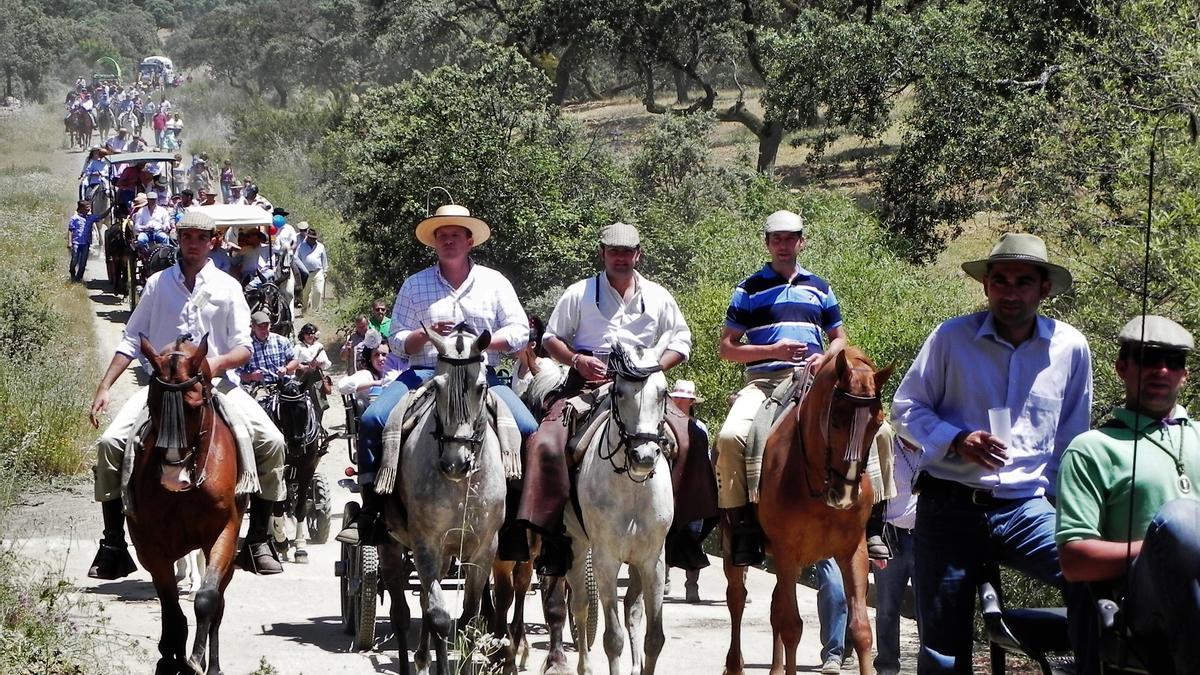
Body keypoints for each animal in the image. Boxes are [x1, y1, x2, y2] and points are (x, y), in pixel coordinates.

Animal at [129, 333, 246, 672]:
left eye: (194, 407)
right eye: (153, 403)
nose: (172, 475)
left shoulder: (223, 532)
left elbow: (207, 599)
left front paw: (195, 659)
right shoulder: (150, 545)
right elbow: (170, 607)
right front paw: (171, 655)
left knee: (219, 602)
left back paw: (212, 663)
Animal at [374, 324, 506, 667]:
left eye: (481, 387)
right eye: (437, 385)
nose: (455, 463)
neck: (461, 486)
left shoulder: (483, 548)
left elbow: (469, 618)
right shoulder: (426, 544)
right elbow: (439, 617)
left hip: (446, 554)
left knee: (421, 600)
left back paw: (422, 658)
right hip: (391, 546)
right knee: (402, 612)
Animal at [564, 341, 676, 672]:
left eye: (663, 392)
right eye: (621, 392)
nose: (644, 456)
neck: (632, 489)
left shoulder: (653, 561)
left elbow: (655, 638)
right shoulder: (606, 561)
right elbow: (612, 638)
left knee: (632, 609)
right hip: (577, 546)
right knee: (579, 605)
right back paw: (584, 667)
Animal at [720, 343, 892, 672]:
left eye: (877, 422)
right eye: (835, 420)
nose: (845, 493)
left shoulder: (853, 550)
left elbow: (861, 630)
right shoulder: (787, 551)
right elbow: (791, 627)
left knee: (774, 605)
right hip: (734, 547)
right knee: (736, 598)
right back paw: (734, 664)